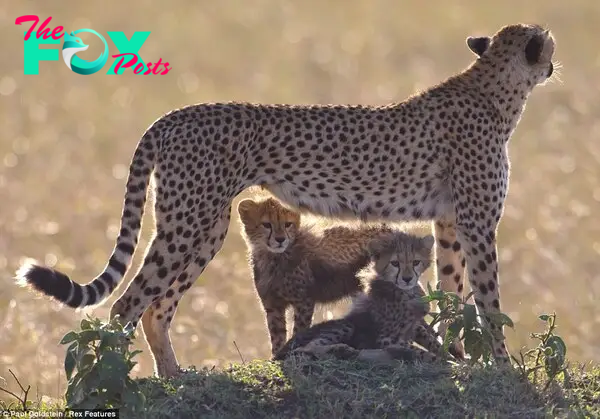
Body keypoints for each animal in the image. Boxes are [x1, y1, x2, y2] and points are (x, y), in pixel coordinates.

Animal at [239, 195, 398, 356]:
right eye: (266, 224)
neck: (273, 257)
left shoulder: (304, 301)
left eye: (287, 224)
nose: (280, 239)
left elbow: (299, 330)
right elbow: (277, 335)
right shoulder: (272, 305)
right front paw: (277, 354)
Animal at [274, 230, 442, 364]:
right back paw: (343, 349)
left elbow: (431, 341)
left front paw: (445, 354)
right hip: (345, 325)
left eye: (416, 262)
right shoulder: (386, 339)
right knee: (305, 348)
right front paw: (435, 359)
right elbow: (418, 351)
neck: (407, 292)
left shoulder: (416, 325)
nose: (407, 279)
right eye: (395, 263)